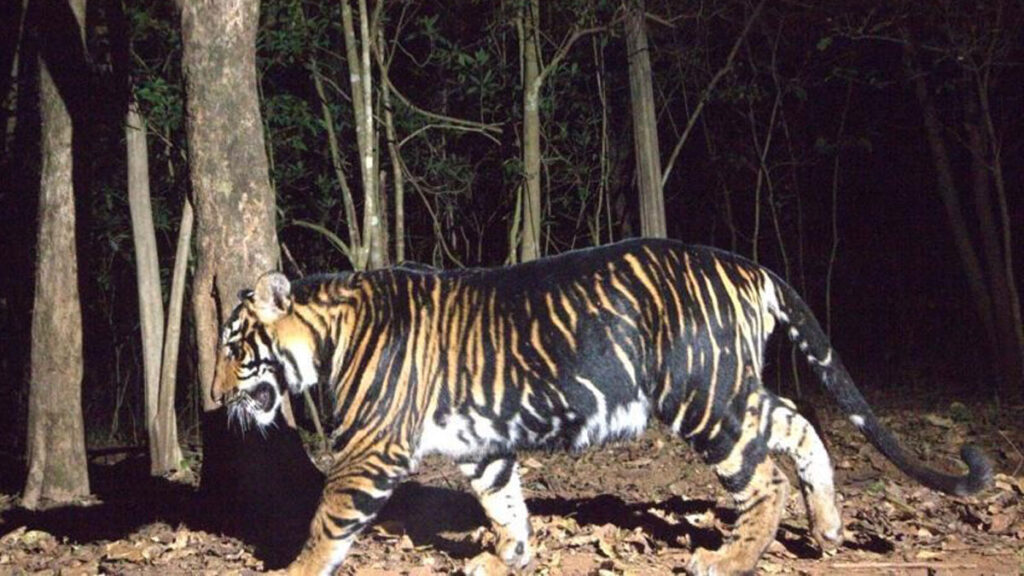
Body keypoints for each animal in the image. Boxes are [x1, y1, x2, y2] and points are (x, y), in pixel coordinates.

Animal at [212, 238, 991, 576]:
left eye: (234, 346)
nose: (213, 396)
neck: (328, 336)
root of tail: (750, 265)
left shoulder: (370, 449)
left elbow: (327, 523)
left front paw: (293, 573)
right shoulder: (481, 445)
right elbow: (504, 502)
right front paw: (508, 557)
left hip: (703, 399)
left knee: (763, 478)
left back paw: (728, 559)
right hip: (733, 390)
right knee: (799, 426)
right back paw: (826, 528)